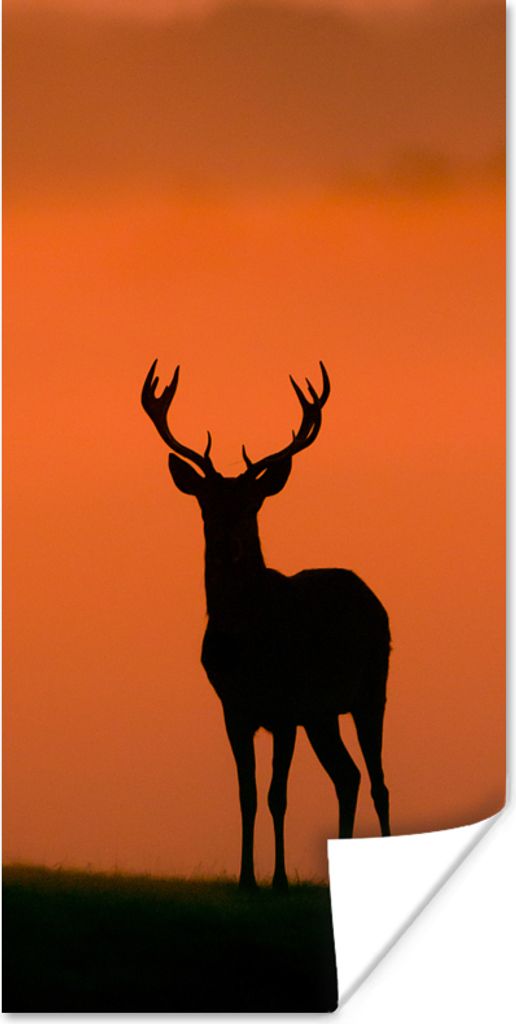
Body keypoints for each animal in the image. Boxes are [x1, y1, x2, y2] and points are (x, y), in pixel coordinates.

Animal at [141, 360, 391, 890]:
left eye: (253, 502)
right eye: (206, 501)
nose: (229, 543)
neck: (247, 643)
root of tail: (372, 597)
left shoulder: (284, 707)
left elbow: (278, 795)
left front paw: (277, 880)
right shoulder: (234, 709)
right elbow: (247, 796)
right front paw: (246, 878)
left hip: (371, 689)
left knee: (378, 780)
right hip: (323, 714)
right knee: (348, 776)